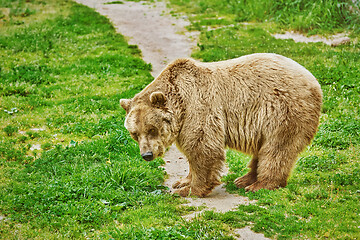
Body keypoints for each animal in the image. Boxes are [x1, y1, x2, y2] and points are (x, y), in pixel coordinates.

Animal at [119, 53, 322, 198]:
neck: (180, 103)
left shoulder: (199, 107)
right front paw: (182, 182)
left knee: (277, 149)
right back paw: (244, 179)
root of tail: (314, 80)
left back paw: (259, 185)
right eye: (134, 133)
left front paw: (188, 190)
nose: (147, 155)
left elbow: (202, 146)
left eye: (152, 129)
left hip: (283, 111)